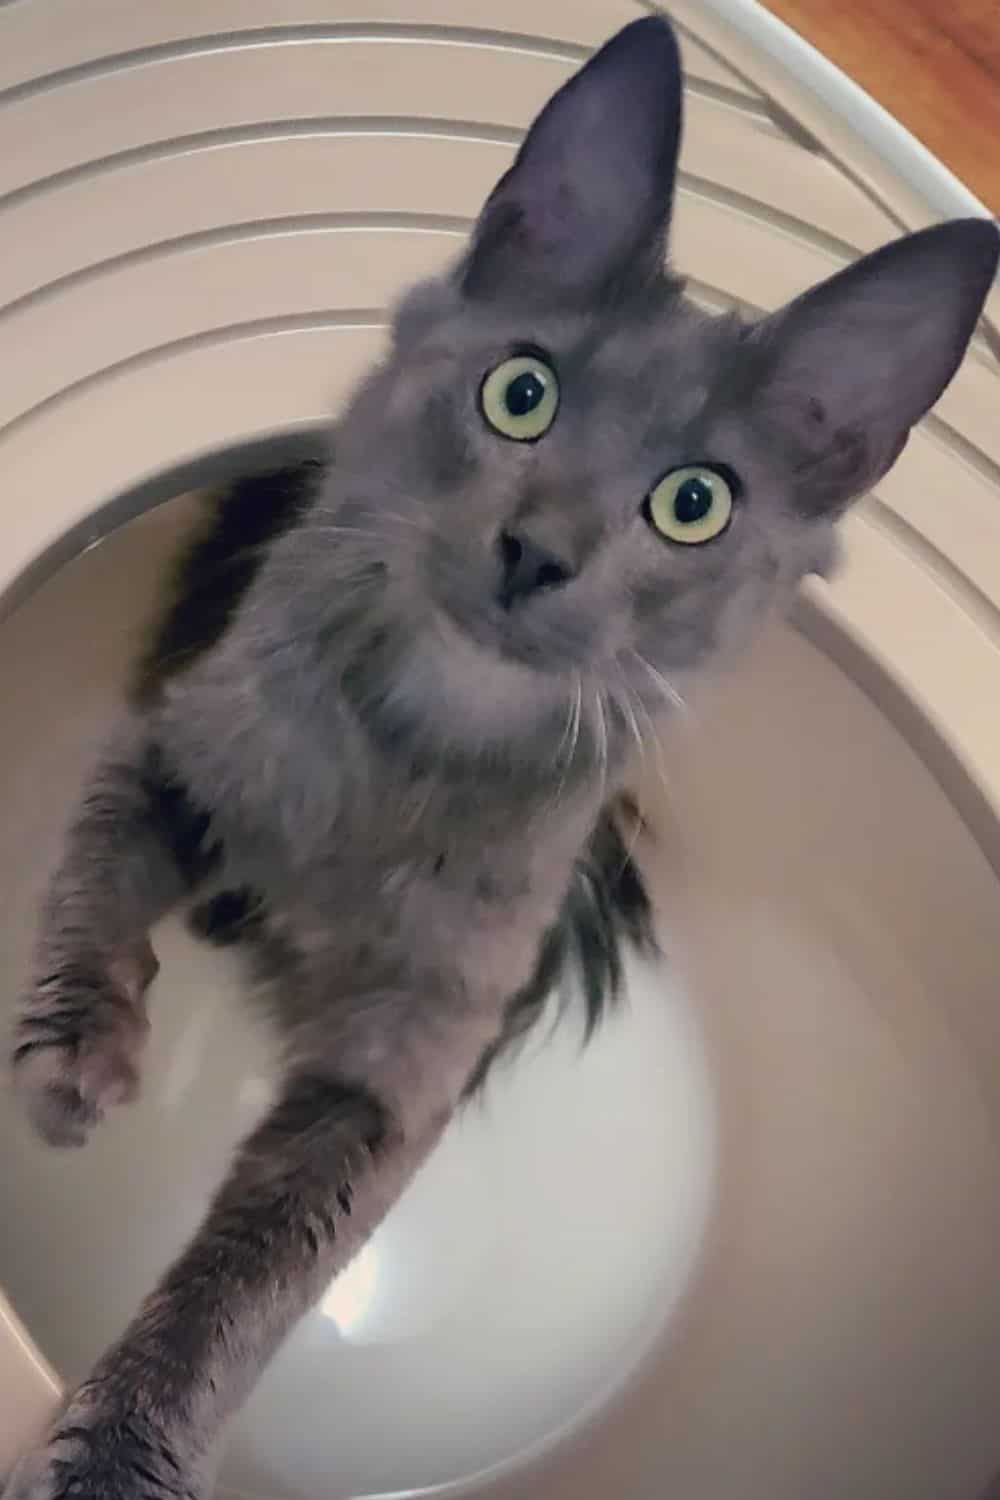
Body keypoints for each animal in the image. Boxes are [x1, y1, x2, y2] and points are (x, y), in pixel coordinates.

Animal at [3, 14, 995, 1500]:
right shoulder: (172, 736)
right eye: (520, 395)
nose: (537, 552)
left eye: (693, 505)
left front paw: (118, 1452)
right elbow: (90, 884)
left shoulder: (413, 1054)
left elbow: (242, 1282)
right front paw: (76, 1064)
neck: (413, 746)